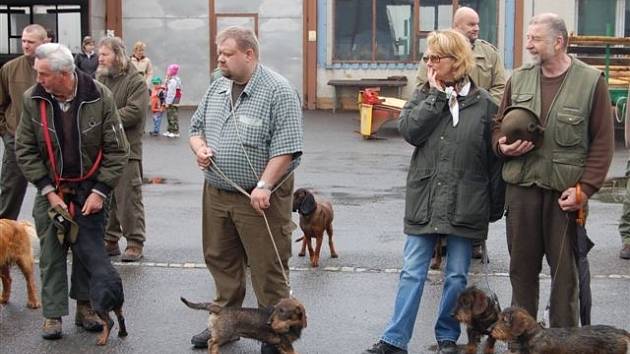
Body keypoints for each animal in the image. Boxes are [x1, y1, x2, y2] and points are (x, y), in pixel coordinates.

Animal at [180, 298, 308, 352]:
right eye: (275, 308)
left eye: (282, 311)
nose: (268, 323)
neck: (292, 324)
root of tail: (221, 309)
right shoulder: (286, 343)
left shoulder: (282, 345)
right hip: (224, 333)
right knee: (211, 343)